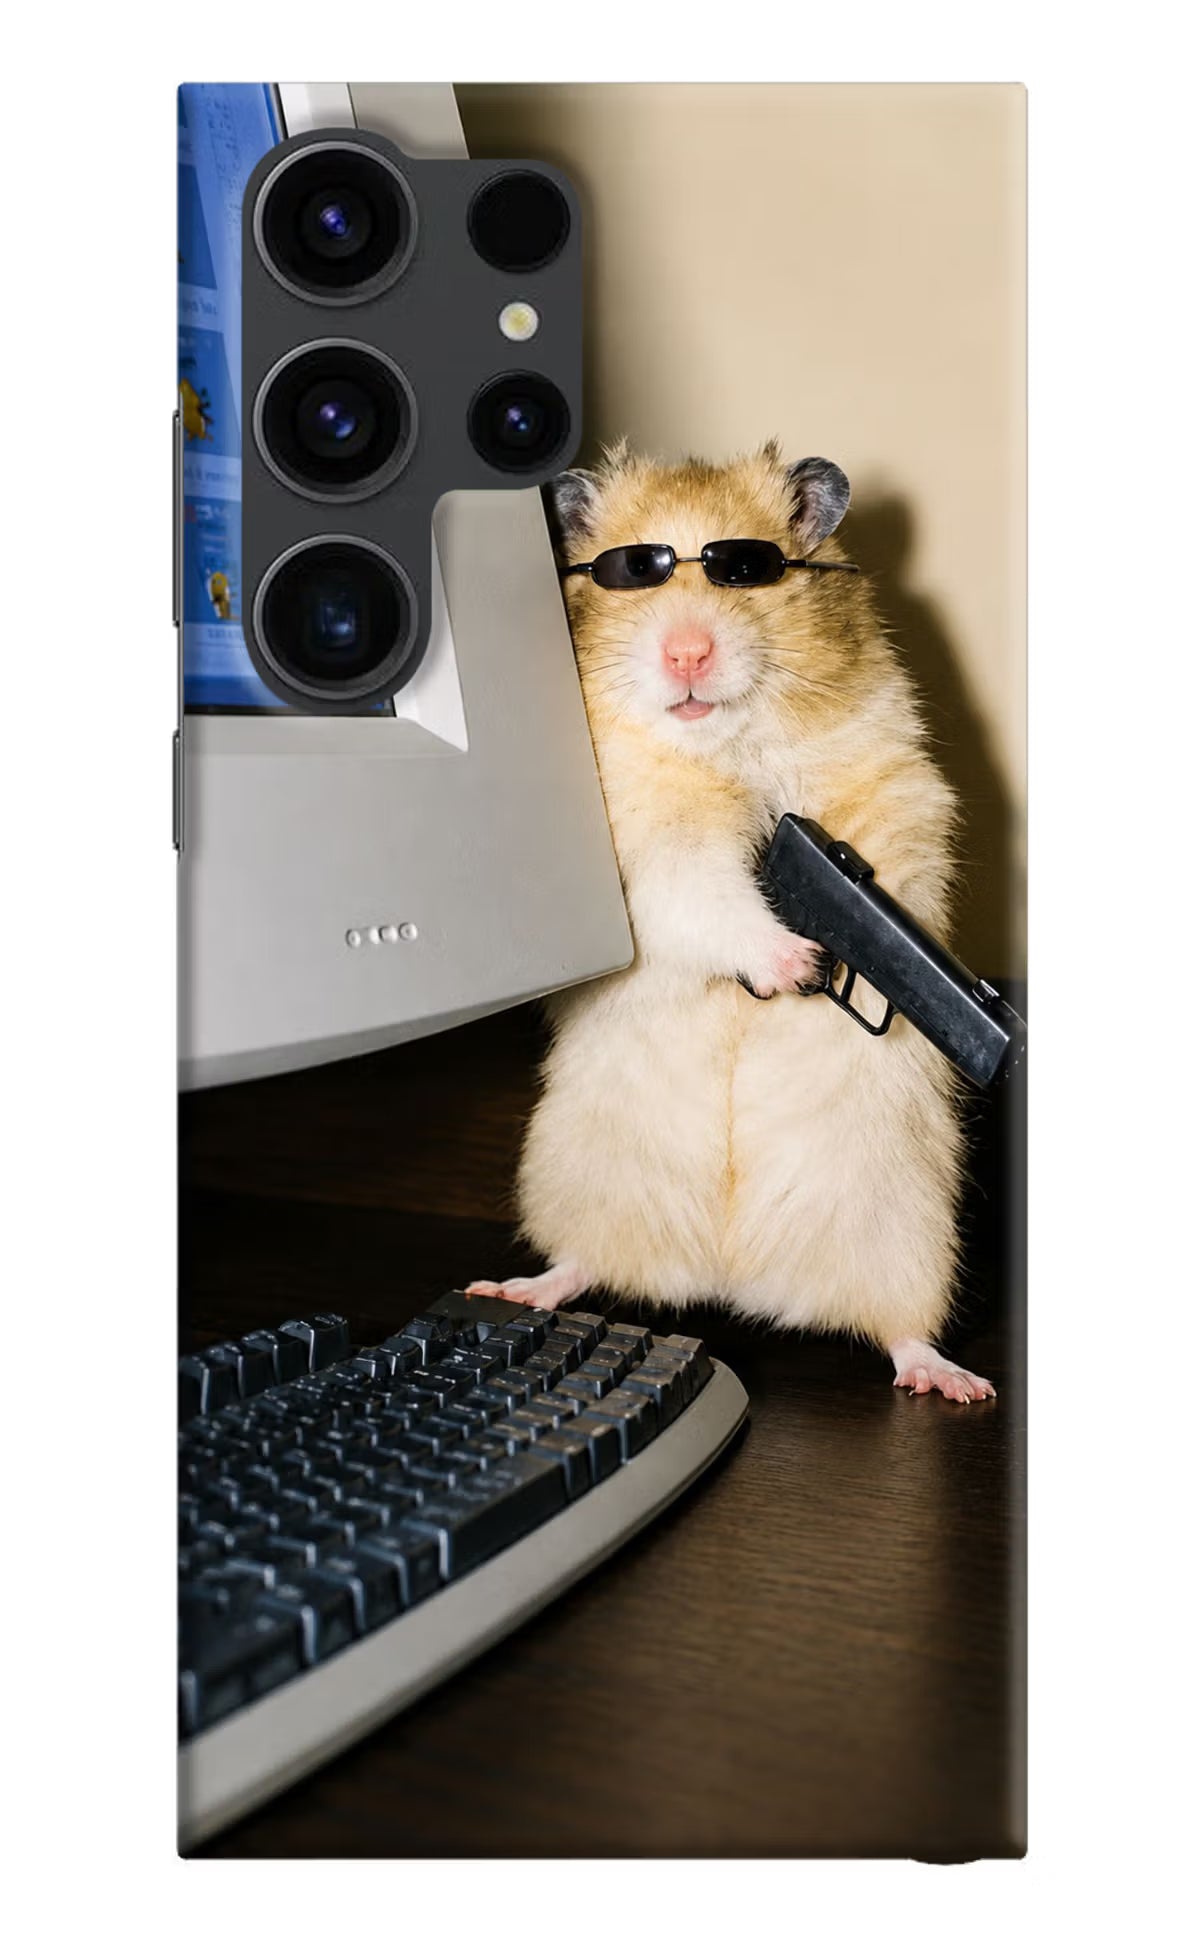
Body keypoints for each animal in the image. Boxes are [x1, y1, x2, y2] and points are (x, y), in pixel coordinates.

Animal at [468, 441, 994, 1403]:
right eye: (633, 572)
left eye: (745, 570)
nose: (686, 653)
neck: (723, 746)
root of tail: (730, 1277)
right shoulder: (647, 853)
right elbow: (707, 896)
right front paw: (796, 964)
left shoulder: (895, 790)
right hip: (578, 1176)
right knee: (582, 1263)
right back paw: (515, 1288)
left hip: (907, 1229)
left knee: (900, 1329)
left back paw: (953, 1382)